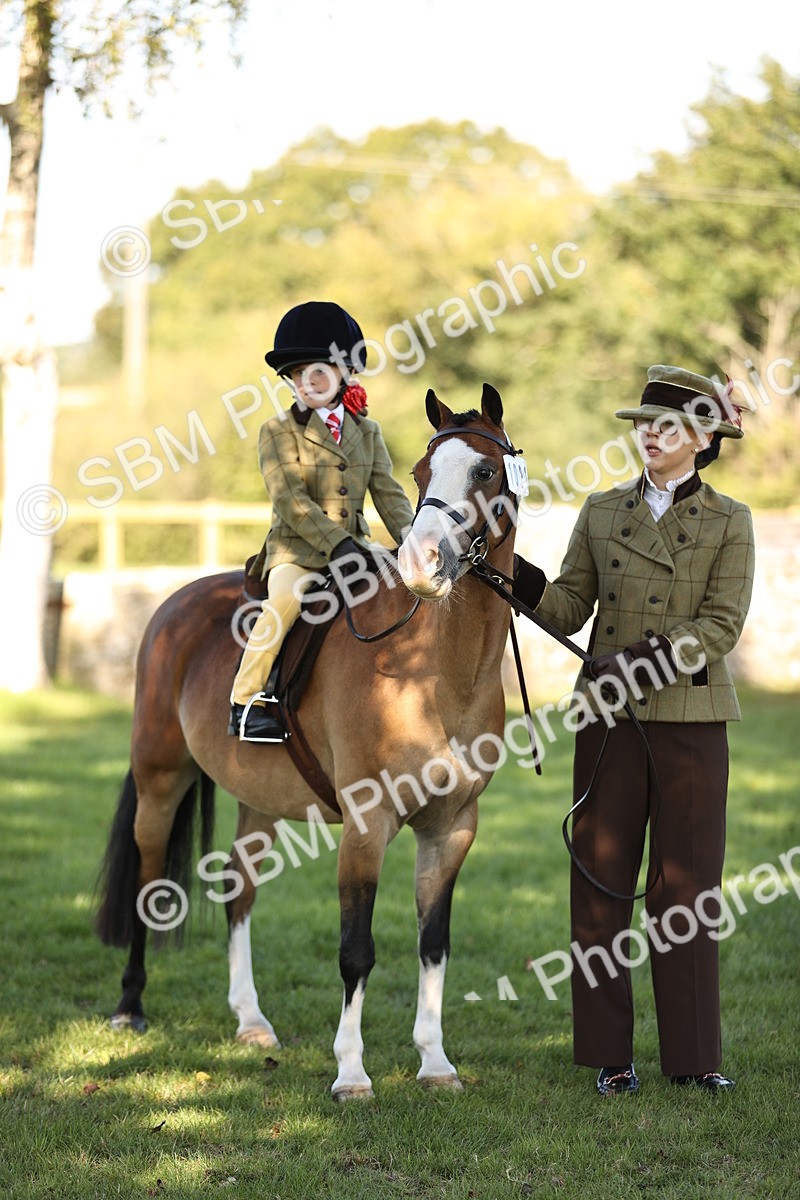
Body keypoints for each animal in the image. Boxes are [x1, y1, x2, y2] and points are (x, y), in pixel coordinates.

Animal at [95, 383, 520, 1100]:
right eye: (421, 473)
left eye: (485, 471)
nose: (421, 563)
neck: (436, 671)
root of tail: (176, 604)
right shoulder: (367, 825)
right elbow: (356, 950)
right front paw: (350, 1073)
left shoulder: (453, 826)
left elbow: (433, 943)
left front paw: (435, 1062)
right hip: (160, 780)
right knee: (148, 881)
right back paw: (130, 1005)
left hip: (258, 800)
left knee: (238, 889)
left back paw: (251, 1021)